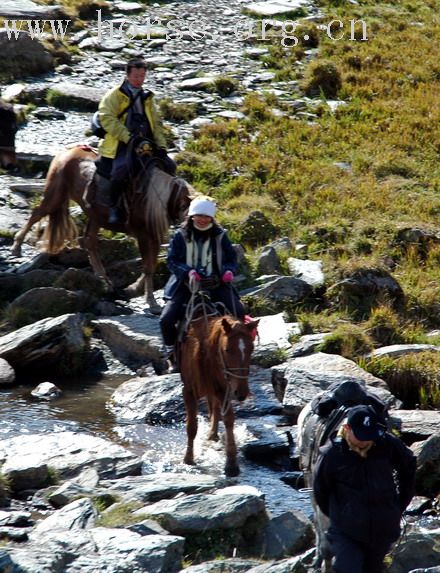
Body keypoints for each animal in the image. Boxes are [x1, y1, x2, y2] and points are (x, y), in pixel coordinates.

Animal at [10, 145, 192, 310]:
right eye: (185, 207)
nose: (188, 229)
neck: (153, 199)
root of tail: (65, 152)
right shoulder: (143, 236)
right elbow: (148, 267)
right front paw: (151, 302)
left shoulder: (154, 237)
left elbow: (151, 265)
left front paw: (133, 290)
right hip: (55, 195)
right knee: (36, 214)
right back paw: (16, 247)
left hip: (94, 216)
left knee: (89, 242)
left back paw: (105, 281)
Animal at [180, 308, 260, 478]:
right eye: (227, 349)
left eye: (251, 349)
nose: (242, 393)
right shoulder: (188, 391)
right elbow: (191, 426)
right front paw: (188, 459)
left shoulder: (224, 389)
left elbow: (228, 419)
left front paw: (231, 464)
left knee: (215, 409)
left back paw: (213, 435)